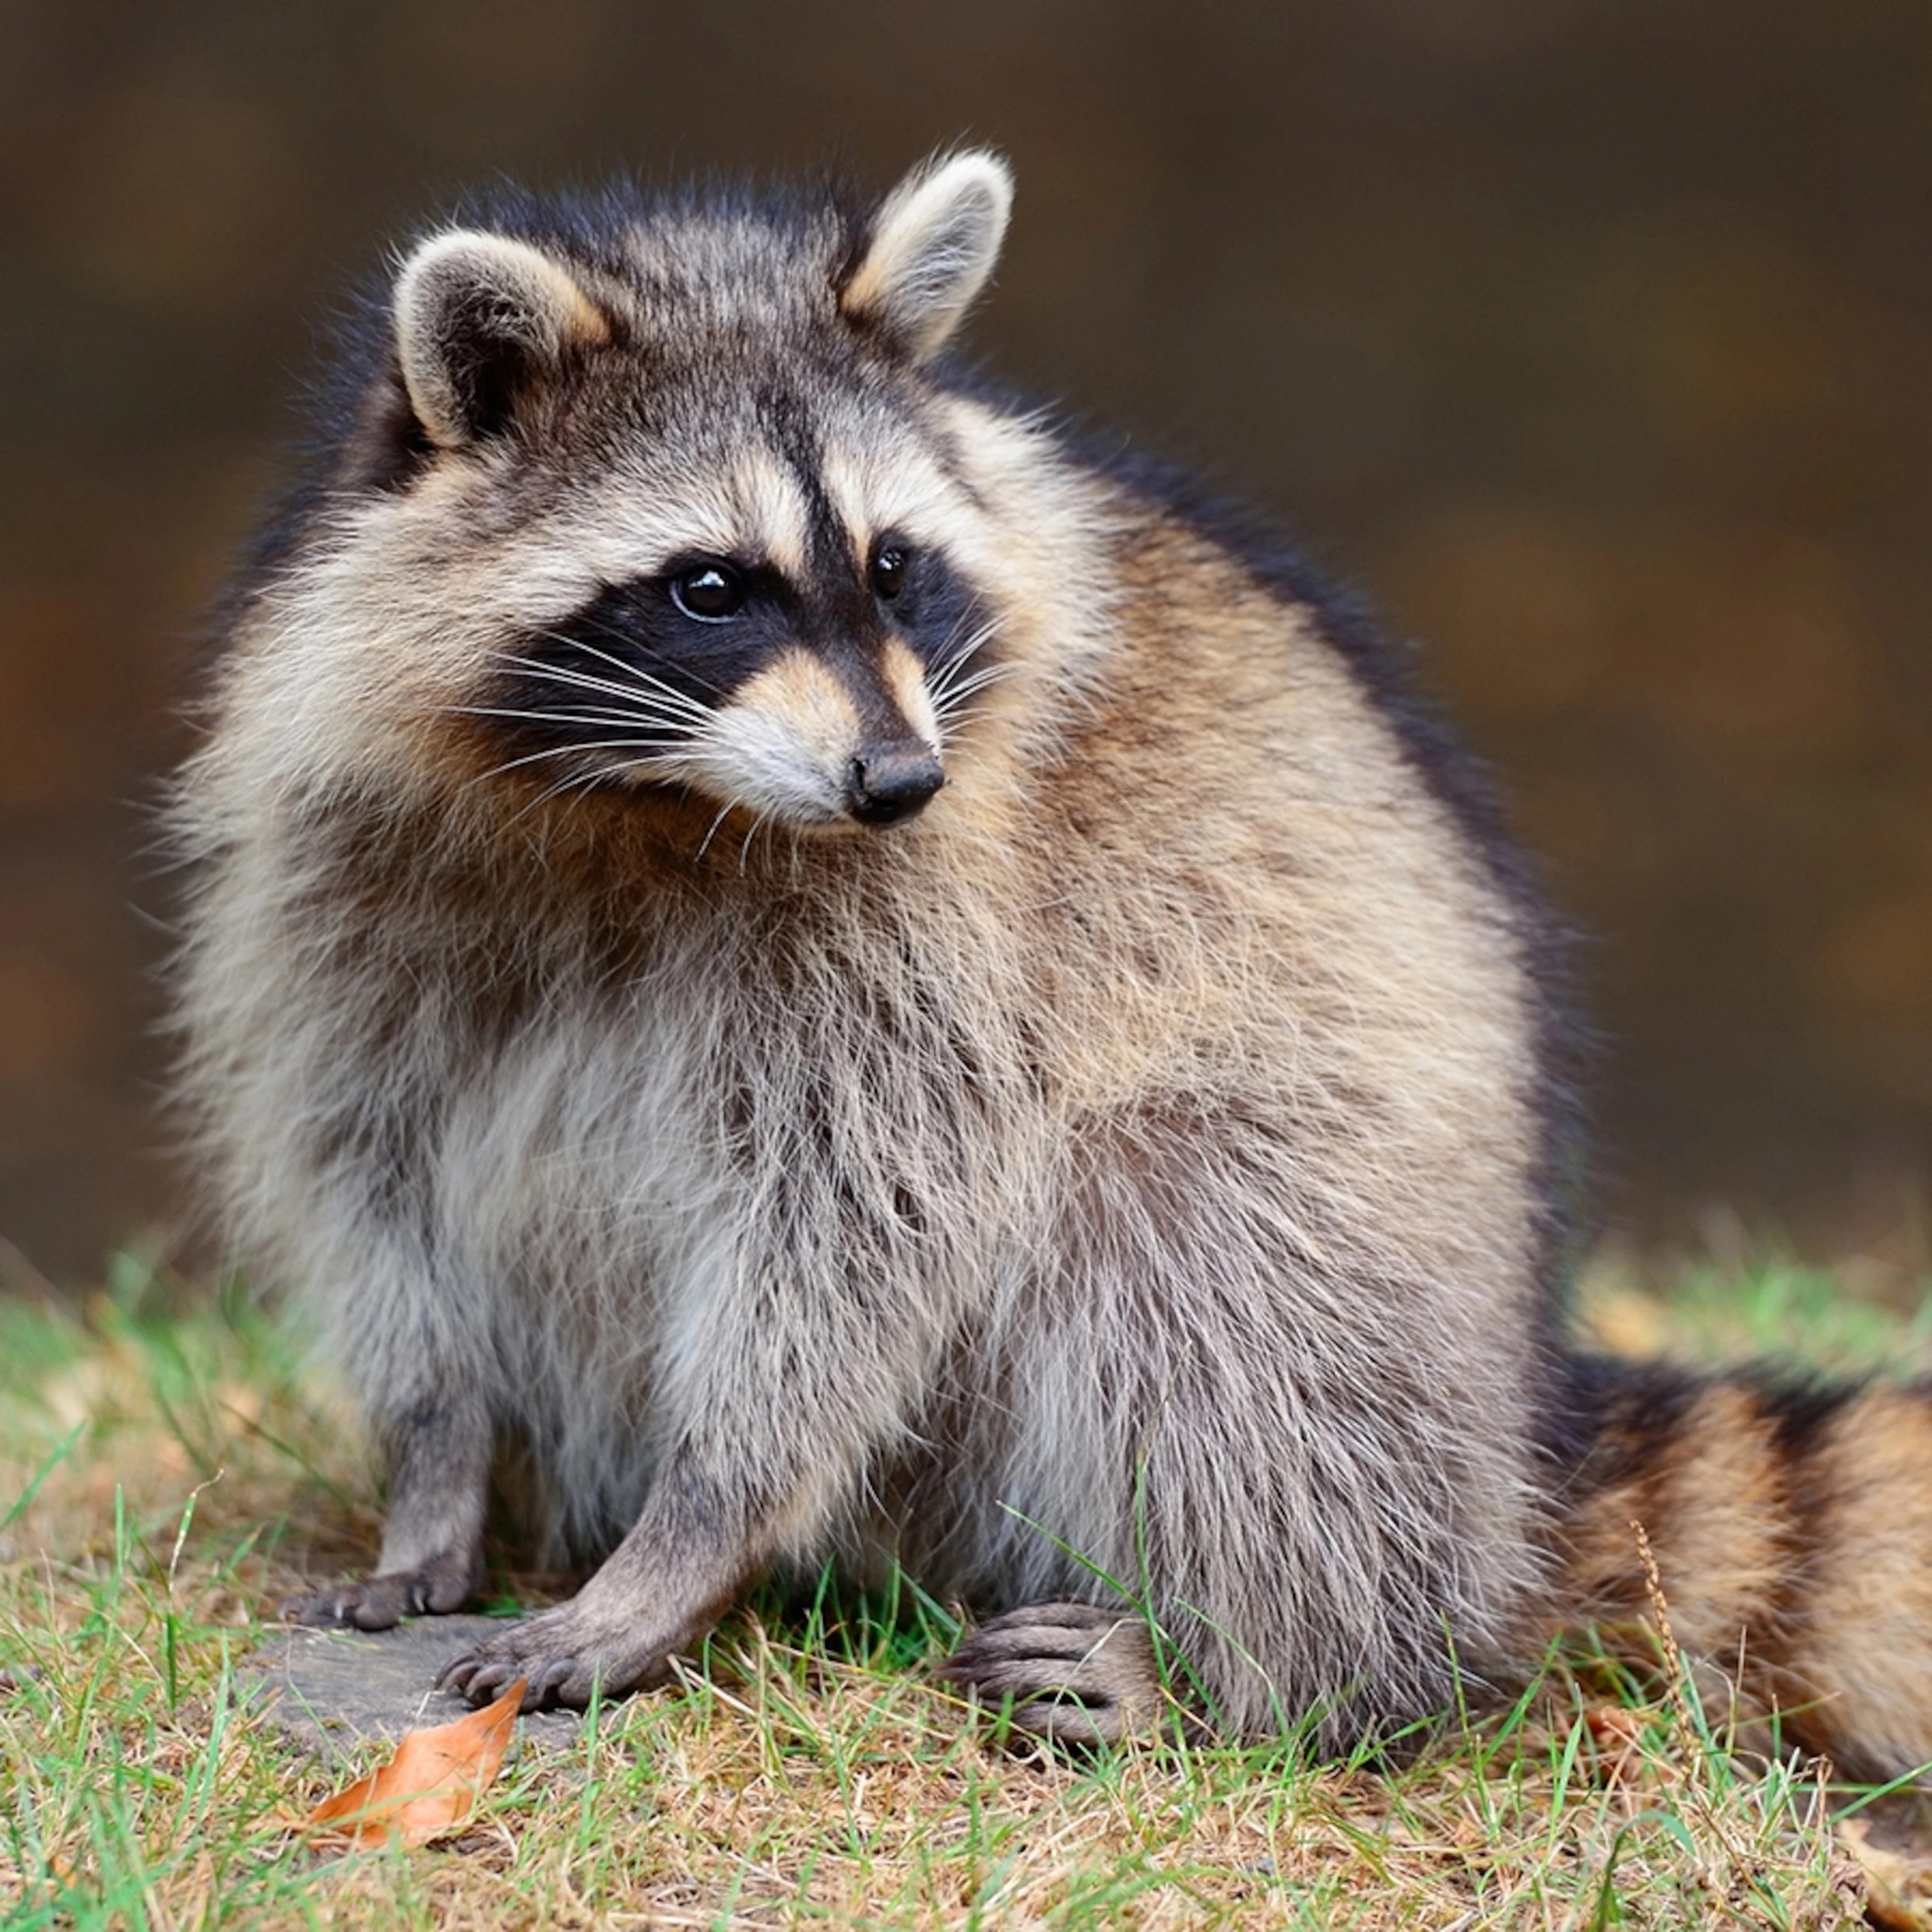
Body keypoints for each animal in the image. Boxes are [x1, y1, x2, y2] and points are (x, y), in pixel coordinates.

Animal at [172, 151, 1932, 1774]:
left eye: (892, 565)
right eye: (709, 585)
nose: (897, 781)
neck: (648, 796)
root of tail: (1520, 1428)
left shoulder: (941, 923)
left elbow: (854, 1222)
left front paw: (693, 1529)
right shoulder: (337, 873)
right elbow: (369, 1164)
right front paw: (432, 1469)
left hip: (1362, 1230)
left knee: (1205, 1261)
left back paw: (1269, 1668)